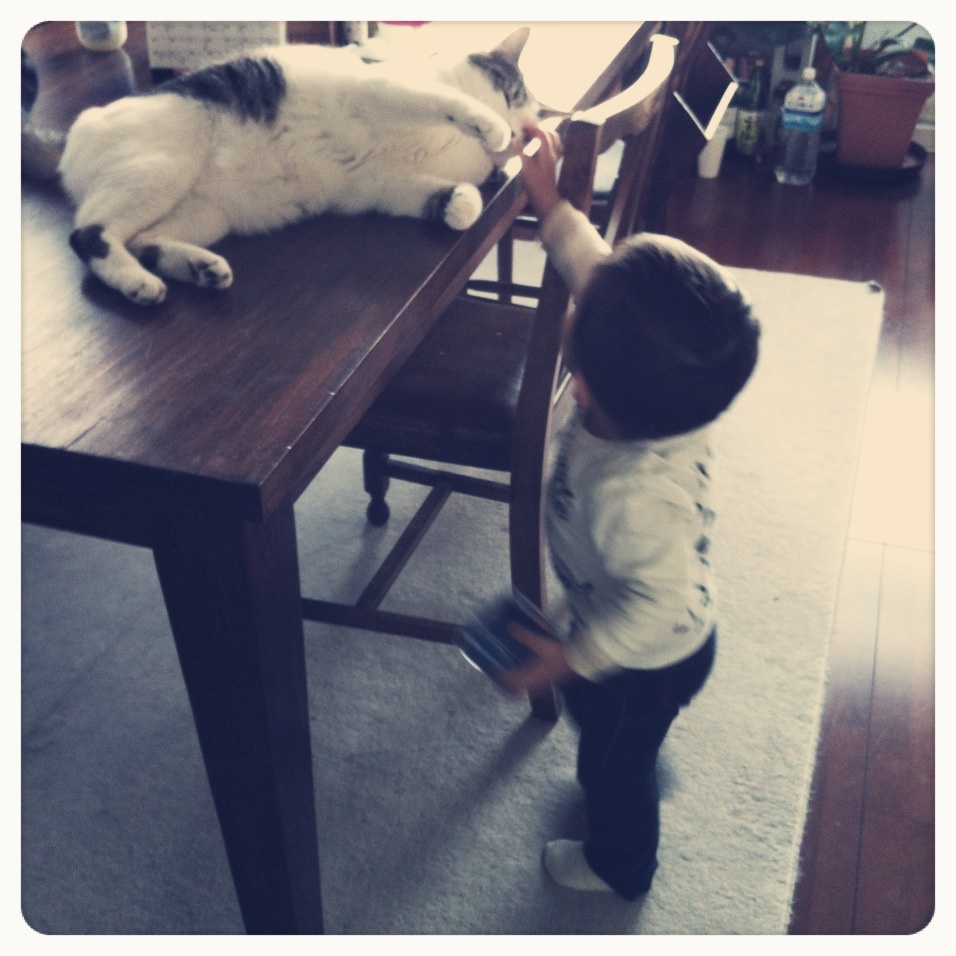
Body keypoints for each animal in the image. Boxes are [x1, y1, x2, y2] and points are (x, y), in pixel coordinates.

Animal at [53, 27, 540, 306]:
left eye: (528, 132)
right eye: (510, 95)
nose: (518, 134)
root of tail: (79, 126)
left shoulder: (379, 185)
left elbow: (452, 200)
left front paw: (458, 205)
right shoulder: (383, 91)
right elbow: (445, 101)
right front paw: (488, 124)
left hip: (207, 213)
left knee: (144, 241)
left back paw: (200, 269)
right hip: (161, 169)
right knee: (88, 234)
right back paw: (138, 284)